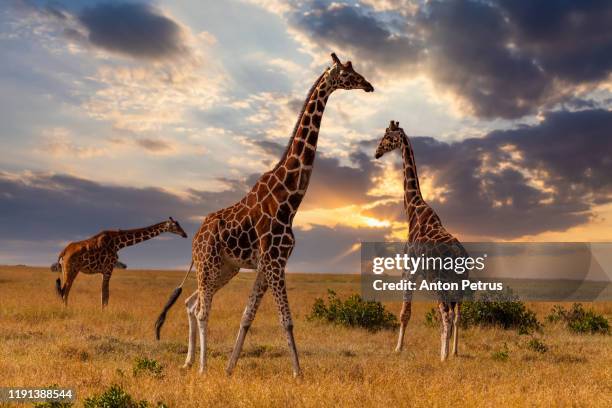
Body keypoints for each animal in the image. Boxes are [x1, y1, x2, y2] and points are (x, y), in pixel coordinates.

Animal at [56, 217, 188, 306]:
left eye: (179, 224)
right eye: (175, 225)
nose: (185, 234)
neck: (118, 243)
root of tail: (63, 253)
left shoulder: (104, 271)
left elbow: (104, 294)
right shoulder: (108, 268)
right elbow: (105, 294)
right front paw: (104, 313)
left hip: (64, 270)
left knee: (62, 290)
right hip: (72, 269)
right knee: (64, 291)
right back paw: (66, 309)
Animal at [155, 51, 376, 376]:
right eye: (348, 74)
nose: (369, 85)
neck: (290, 200)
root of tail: (194, 238)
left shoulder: (267, 263)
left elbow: (247, 316)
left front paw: (230, 369)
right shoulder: (274, 261)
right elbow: (286, 320)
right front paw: (298, 373)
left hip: (225, 268)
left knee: (192, 304)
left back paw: (190, 361)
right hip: (208, 263)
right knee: (203, 310)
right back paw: (202, 368)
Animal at [372, 120, 468, 360]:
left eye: (386, 137)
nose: (377, 153)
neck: (412, 209)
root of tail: (460, 255)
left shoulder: (409, 268)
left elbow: (405, 312)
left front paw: (398, 348)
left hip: (440, 281)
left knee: (446, 315)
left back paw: (443, 357)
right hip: (460, 284)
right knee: (457, 315)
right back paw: (453, 352)